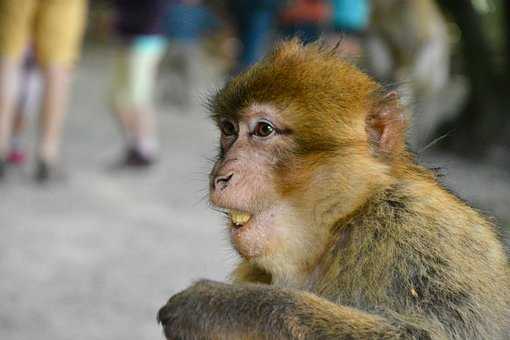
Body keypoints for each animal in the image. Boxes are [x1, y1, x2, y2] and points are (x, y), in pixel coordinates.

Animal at [157, 40, 508, 340]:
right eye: (229, 130)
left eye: (263, 130)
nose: (220, 176)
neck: (340, 224)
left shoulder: (418, 232)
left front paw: (215, 305)